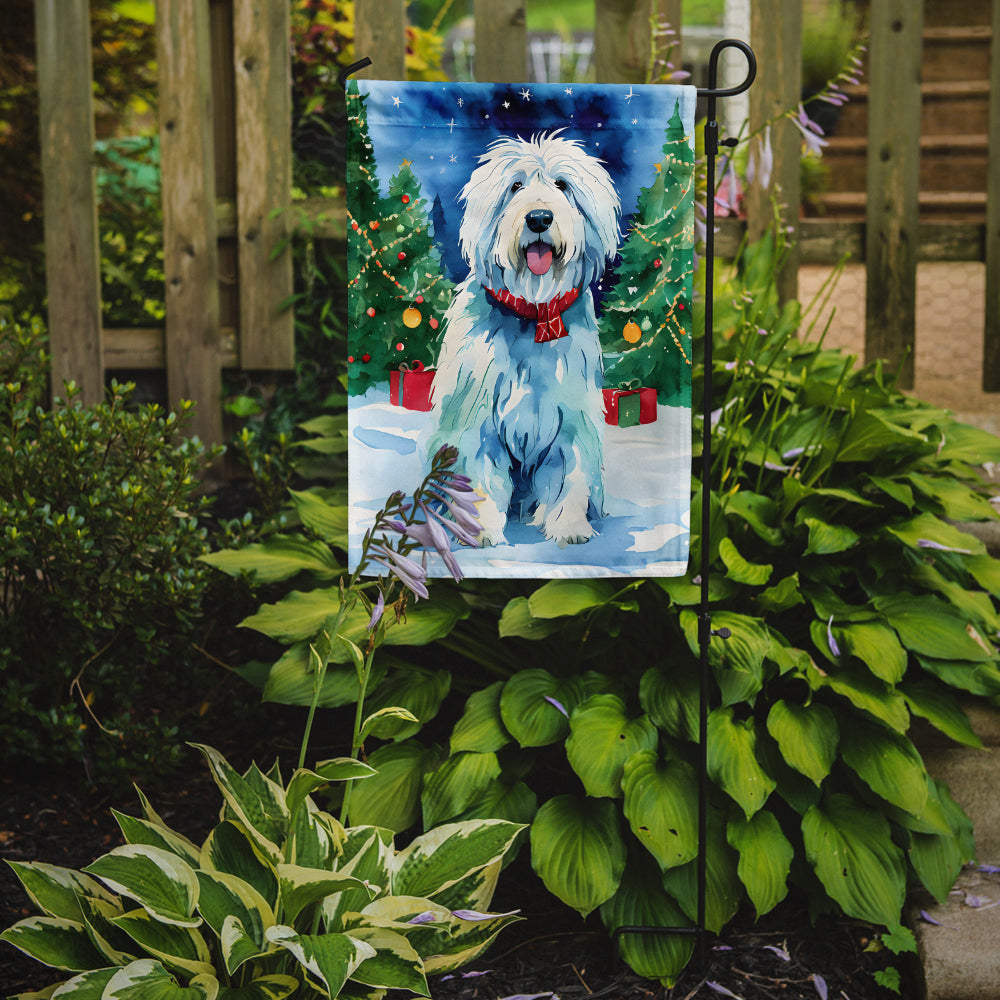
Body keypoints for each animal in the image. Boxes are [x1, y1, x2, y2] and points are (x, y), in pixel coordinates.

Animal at [428, 133, 616, 548]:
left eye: (562, 185)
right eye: (515, 186)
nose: (539, 218)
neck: (534, 313)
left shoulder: (570, 417)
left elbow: (570, 474)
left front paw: (569, 527)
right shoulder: (476, 417)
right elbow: (478, 476)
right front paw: (480, 529)